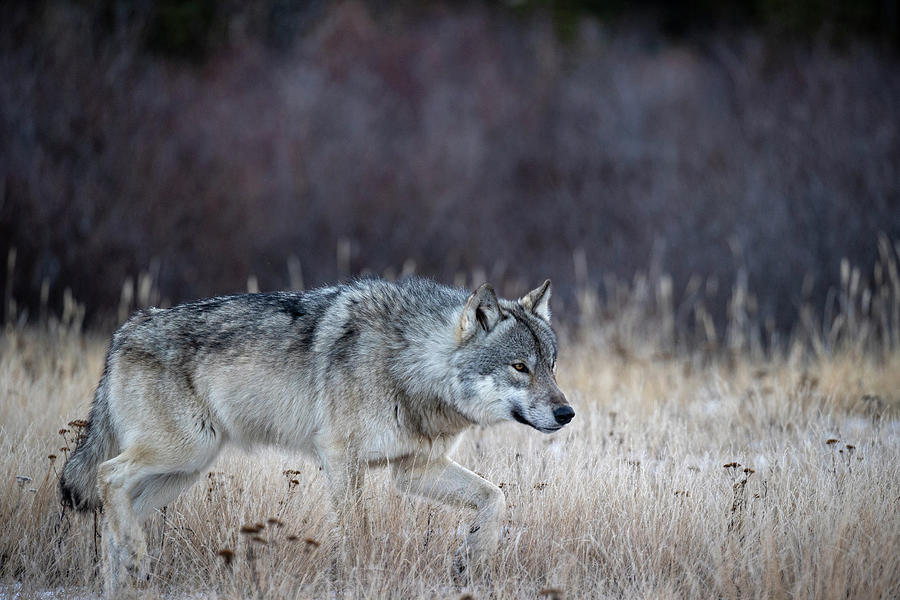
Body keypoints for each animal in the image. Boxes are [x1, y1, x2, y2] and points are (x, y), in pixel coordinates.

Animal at [59, 278, 572, 596]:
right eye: (519, 367)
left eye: (551, 366)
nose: (566, 413)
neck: (410, 362)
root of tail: (122, 332)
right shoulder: (342, 459)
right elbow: (358, 534)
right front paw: (361, 580)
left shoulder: (413, 470)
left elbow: (496, 498)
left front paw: (471, 560)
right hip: (182, 453)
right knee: (107, 476)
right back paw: (137, 555)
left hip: (183, 471)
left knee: (111, 523)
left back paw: (128, 572)